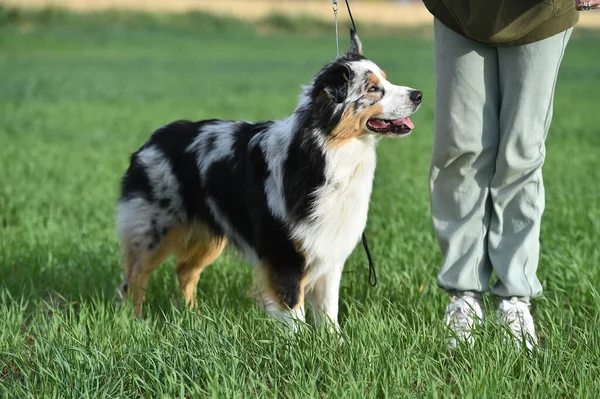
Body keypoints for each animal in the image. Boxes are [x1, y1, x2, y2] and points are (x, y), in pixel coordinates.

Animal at [115, 31, 420, 334]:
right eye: (372, 89)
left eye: (386, 80)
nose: (418, 95)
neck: (326, 153)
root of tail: (153, 139)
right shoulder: (284, 253)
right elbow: (294, 311)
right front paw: (299, 345)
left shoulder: (328, 250)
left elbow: (329, 311)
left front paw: (334, 343)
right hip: (156, 228)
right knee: (134, 275)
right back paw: (135, 321)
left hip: (209, 232)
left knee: (185, 271)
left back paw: (194, 317)